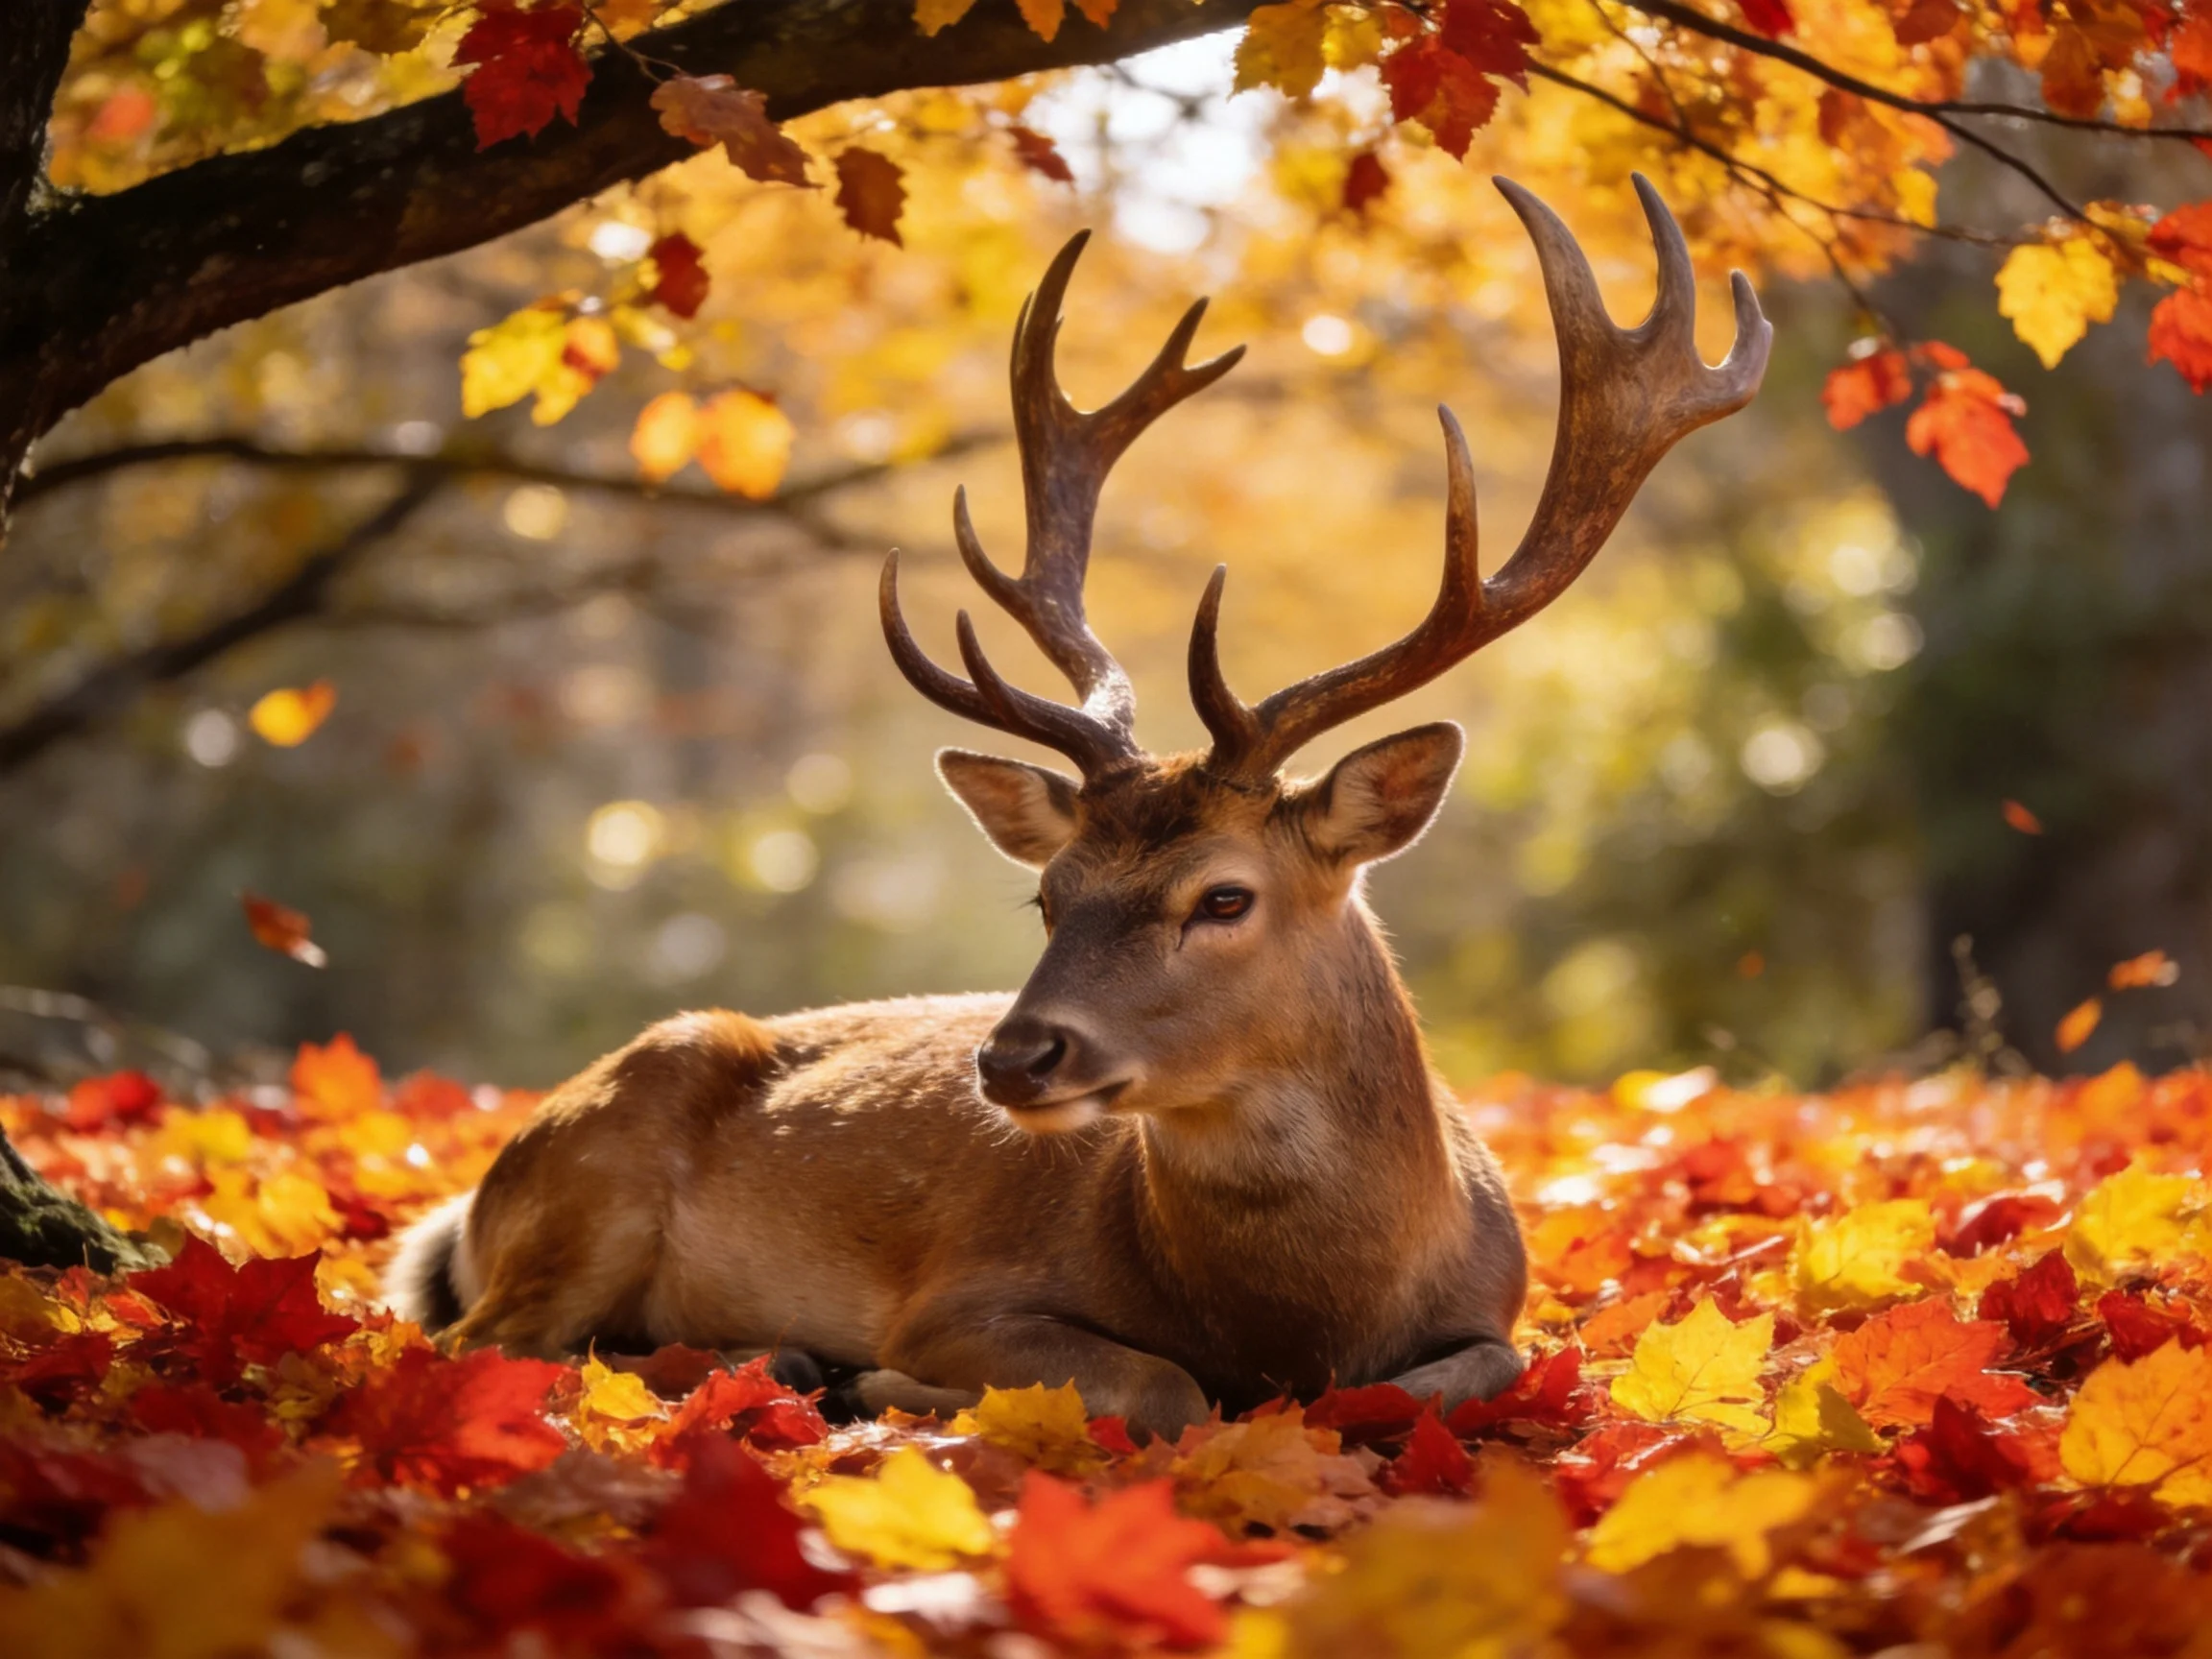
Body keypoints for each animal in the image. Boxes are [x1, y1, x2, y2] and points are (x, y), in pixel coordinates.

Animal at [385, 176, 1769, 1440]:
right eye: (1048, 896)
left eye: (1225, 896)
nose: (1013, 1058)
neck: (1298, 1314)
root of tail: (475, 1202)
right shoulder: (960, 1295)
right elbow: (1162, 1387)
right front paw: (882, 1383)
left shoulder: (1500, 1311)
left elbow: (1464, 1372)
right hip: (590, 1180)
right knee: (473, 1341)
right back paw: (782, 1363)